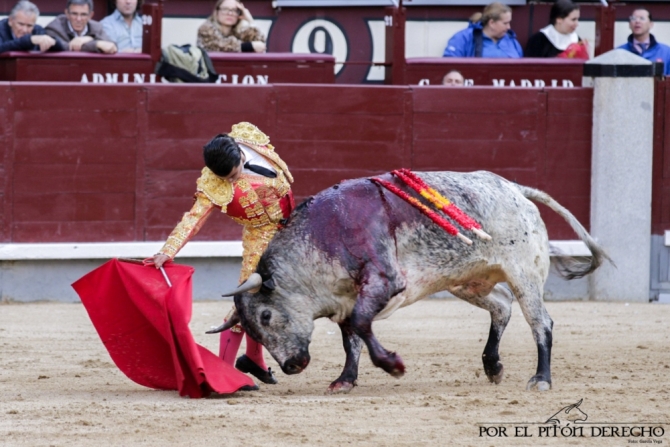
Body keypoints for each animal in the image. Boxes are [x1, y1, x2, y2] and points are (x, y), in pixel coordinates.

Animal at [213, 173, 612, 394]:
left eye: (265, 316)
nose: (291, 366)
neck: (325, 235)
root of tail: (514, 189)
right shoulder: (346, 299)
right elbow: (351, 339)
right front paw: (345, 379)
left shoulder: (383, 282)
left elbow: (361, 326)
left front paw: (393, 365)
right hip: (466, 281)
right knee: (501, 305)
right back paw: (492, 366)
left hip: (523, 272)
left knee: (540, 321)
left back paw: (541, 378)